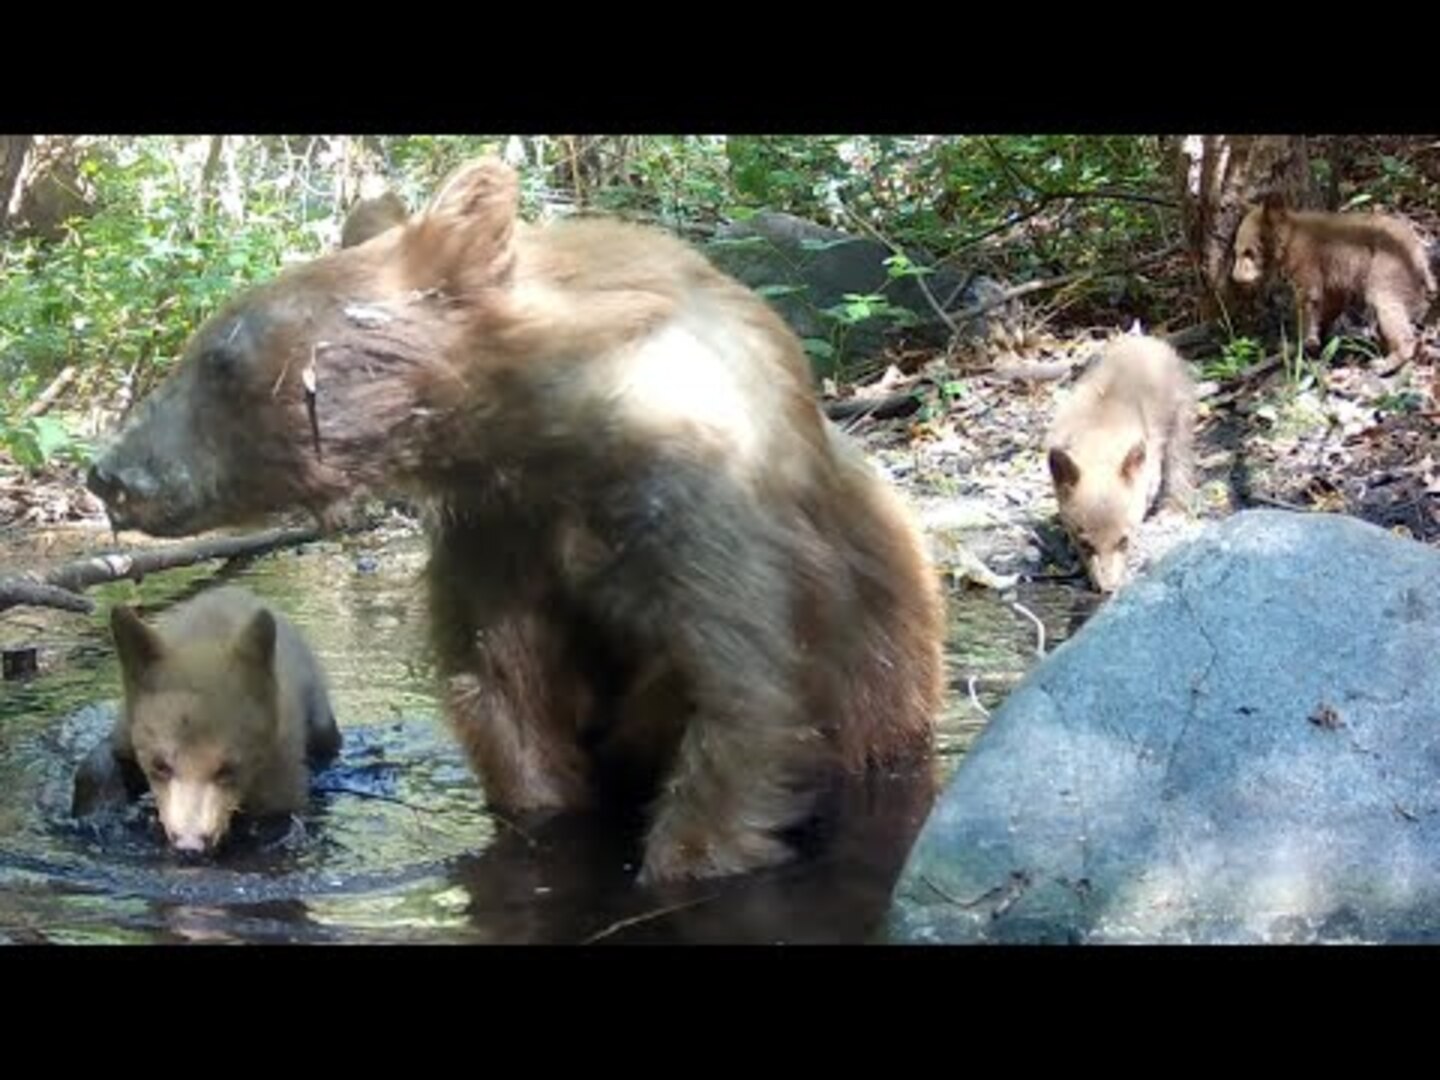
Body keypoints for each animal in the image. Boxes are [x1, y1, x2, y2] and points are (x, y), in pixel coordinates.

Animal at [72, 586, 341, 855]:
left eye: (228, 768)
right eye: (160, 765)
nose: (190, 844)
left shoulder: (279, 768)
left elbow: (276, 824)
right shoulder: (127, 729)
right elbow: (103, 762)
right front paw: (96, 812)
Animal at [1046, 332, 1196, 594]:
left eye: (1124, 541)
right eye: (1085, 544)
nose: (1108, 589)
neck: (1099, 433)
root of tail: (1146, 339)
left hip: (1178, 411)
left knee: (1179, 458)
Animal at [1231, 193, 1438, 375]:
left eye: (1249, 252)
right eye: (1236, 251)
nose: (1236, 278)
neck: (1288, 240)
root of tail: (1419, 252)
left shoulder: (1308, 259)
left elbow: (1308, 298)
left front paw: (1300, 342)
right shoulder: (1332, 275)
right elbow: (1331, 302)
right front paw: (1318, 337)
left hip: (1386, 267)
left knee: (1387, 305)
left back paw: (1387, 361)